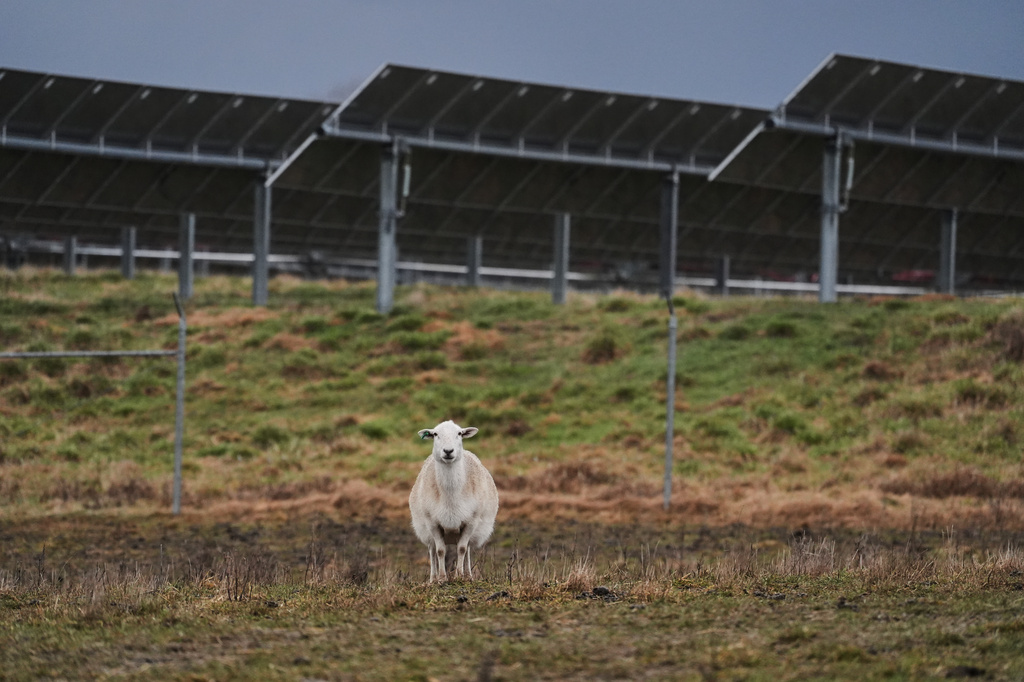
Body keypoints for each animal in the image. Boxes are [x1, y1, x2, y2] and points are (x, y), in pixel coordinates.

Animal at [409, 420, 499, 582]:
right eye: (435, 434)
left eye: (459, 433)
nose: (448, 451)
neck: (451, 497)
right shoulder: (432, 523)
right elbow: (440, 551)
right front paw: (442, 578)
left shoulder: (471, 521)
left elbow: (462, 549)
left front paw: (459, 576)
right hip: (424, 531)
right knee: (432, 551)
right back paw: (432, 579)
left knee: (467, 549)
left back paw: (468, 575)